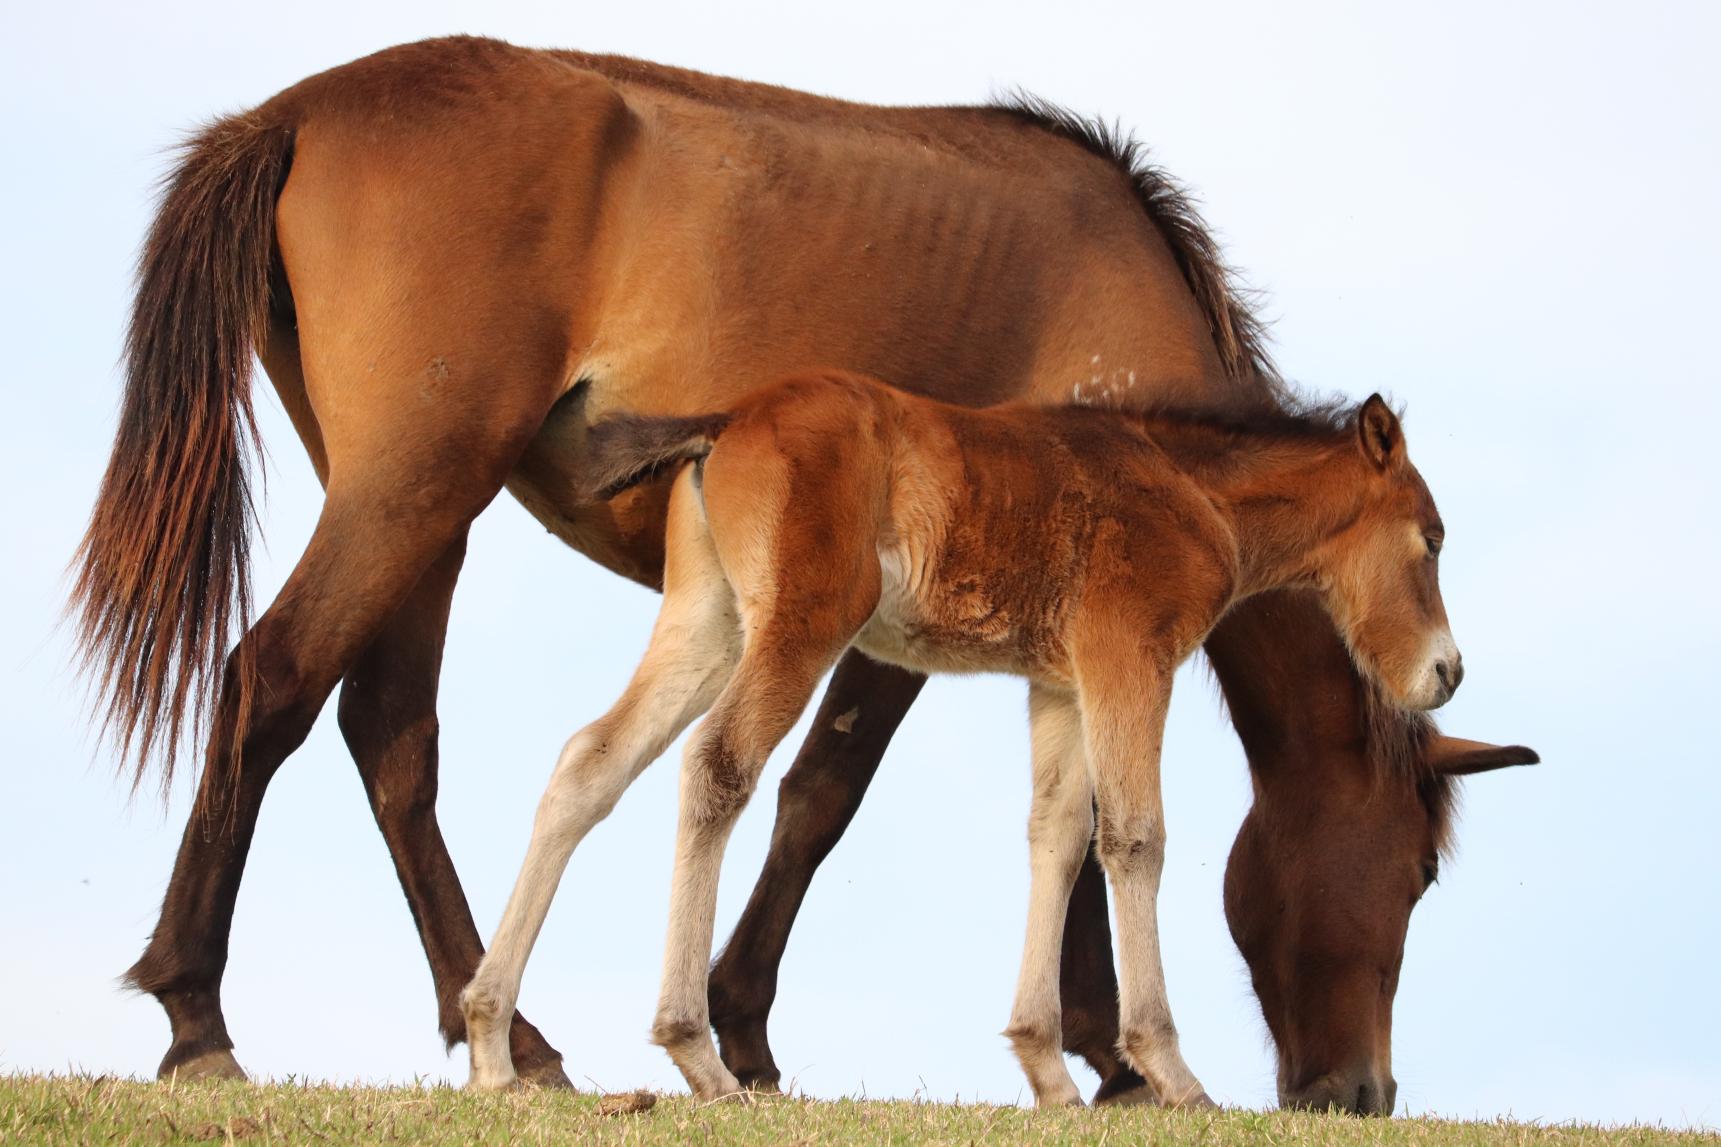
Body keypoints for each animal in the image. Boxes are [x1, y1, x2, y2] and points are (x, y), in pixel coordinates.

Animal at [458, 372, 1466, 1107]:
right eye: (1431, 539)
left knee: (590, 761)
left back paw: (492, 1043)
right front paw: (1171, 1073)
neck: (1195, 490)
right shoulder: (1129, 656)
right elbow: (1133, 838)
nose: (1447, 671)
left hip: (706, 621)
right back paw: (695, 1053)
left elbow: (1057, 837)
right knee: (717, 764)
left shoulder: (1060, 682)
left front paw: (1047, 1073)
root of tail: (731, 418)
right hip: (802, 621)